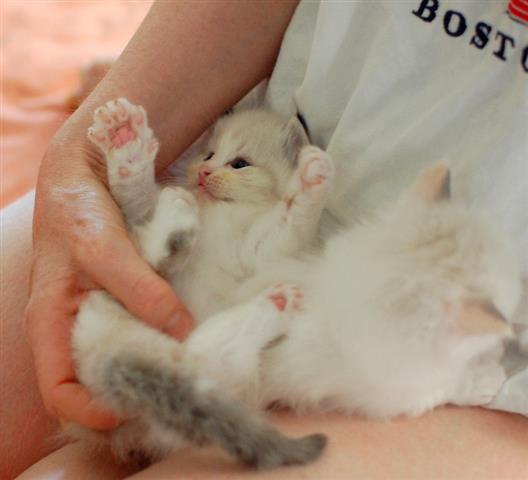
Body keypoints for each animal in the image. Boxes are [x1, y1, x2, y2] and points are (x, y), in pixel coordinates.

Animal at [70, 97, 520, 468]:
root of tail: (101, 350)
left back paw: (262, 297)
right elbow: (136, 200)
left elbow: (289, 222)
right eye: (209, 153)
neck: (229, 214)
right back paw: (176, 215)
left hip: (233, 377)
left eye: (239, 163)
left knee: (204, 349)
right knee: (162, 271)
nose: (202, 172)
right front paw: (126, 143)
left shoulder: (264, 253)